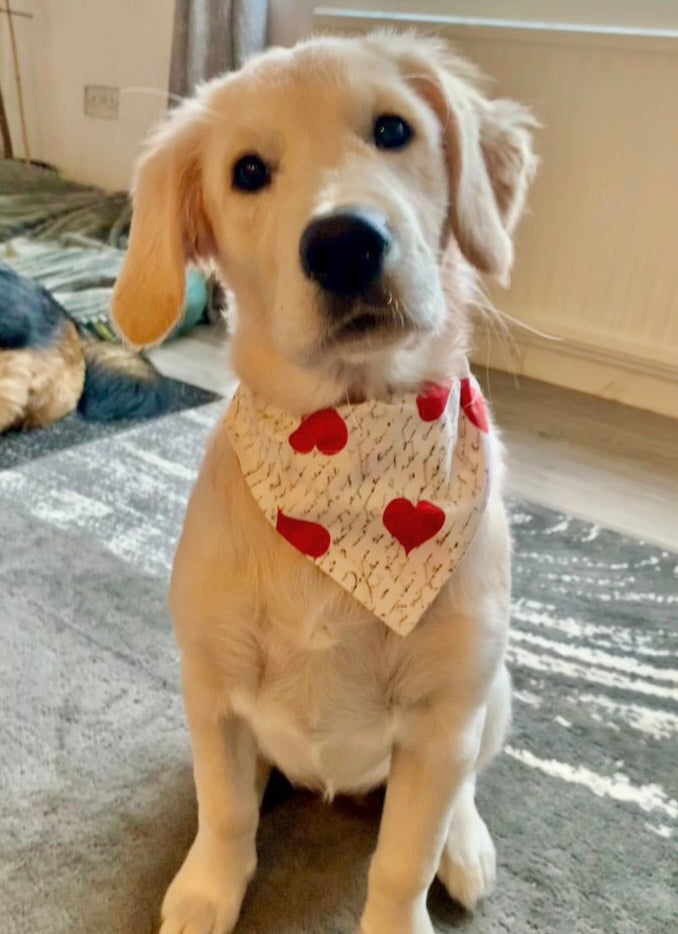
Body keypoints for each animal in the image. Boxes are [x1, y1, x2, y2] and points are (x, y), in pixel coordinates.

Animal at [110, 31, 536, 934]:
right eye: (246, 172)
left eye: (394, 129)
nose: (344, 243)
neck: (341, 449)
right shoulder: (211, 688)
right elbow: (225, 810)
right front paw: (208, 890)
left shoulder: (443, 723)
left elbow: (403, 861)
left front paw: (407, 905)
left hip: (493, 694)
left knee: (467, 787)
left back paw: (467, 848)